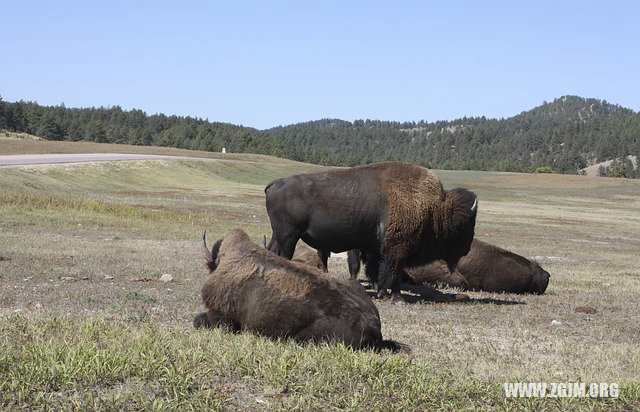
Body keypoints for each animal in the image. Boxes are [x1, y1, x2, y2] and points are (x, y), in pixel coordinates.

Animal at [262, 162, 478, 302]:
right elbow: (393, 274)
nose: (467, 249)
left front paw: (382, 293)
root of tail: (276, 183)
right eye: (465, 224)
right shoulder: (397, 251)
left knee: (272, 252)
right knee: (284, 256)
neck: (435, 208)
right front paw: (397, 298)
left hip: (279, 235)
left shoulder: (378, 250)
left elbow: (377, 271)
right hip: (289, 236)